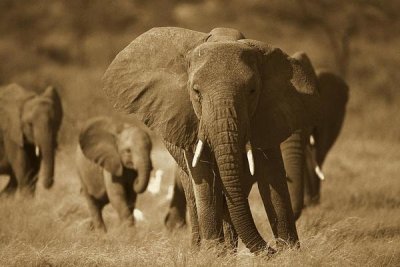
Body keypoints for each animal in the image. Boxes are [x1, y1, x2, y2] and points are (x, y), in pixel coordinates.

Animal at [101, 27, 320, 255]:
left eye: (252, 91)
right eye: (196, 91)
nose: (272, 249)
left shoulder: (269, 114)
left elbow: (272, 174)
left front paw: (290, 252)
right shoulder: (190, 120)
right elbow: (203, 175)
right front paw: (213, 254)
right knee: (193, 191)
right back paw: (202, 249)